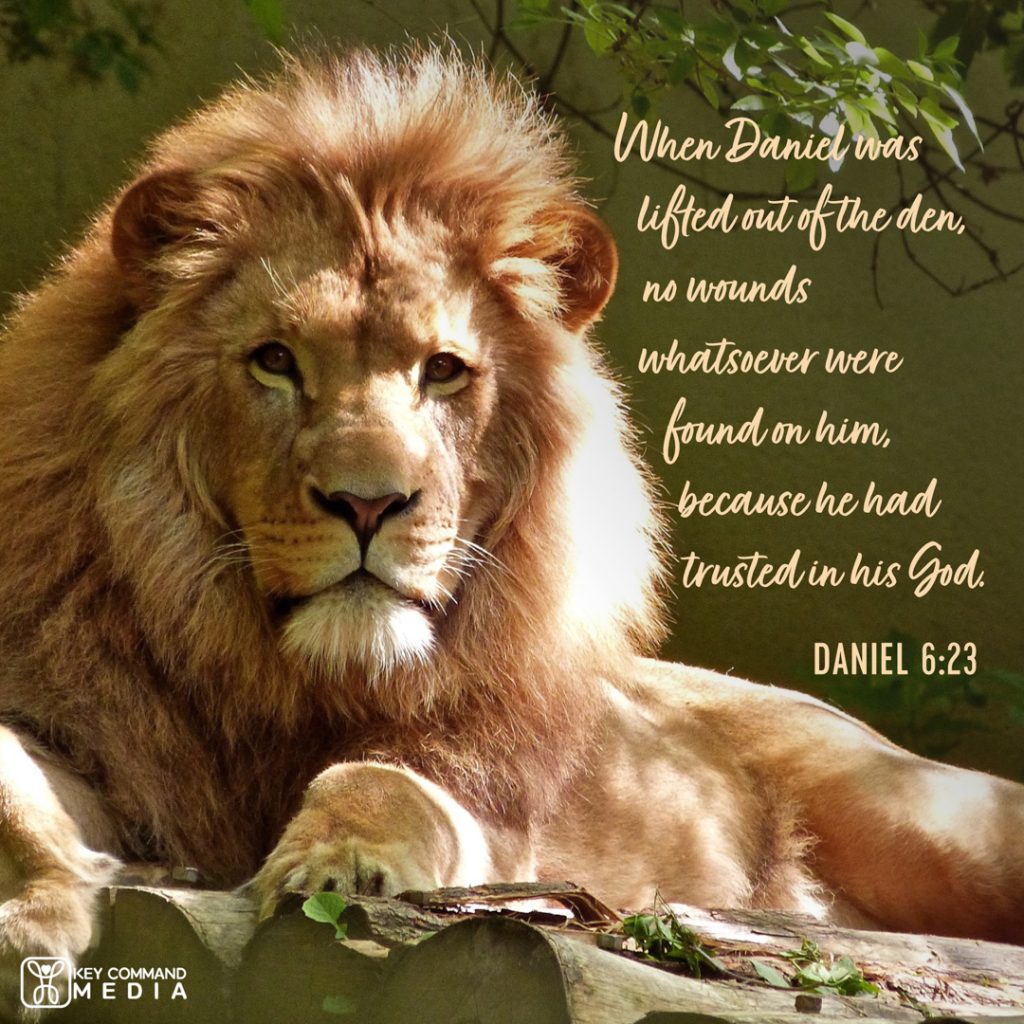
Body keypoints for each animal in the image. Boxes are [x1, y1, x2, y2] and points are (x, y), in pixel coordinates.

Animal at [0, 46, 1022, 1011]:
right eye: (275, 361)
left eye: (444, 370)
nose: (368, 504)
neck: (293, 679)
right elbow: (15, 781)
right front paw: (41, 914)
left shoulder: (493, 816)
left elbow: (382, 783)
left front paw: (339, 865)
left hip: (932, 818)